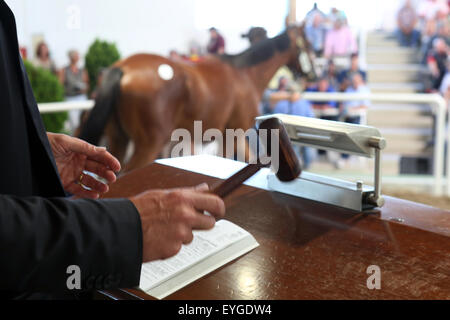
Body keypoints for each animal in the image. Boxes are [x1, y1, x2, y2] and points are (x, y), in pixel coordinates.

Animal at [78, 25, 316, 172]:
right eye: (308, 42)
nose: (313, 72)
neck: (244, 73)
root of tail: (123, 68)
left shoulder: (225, 136)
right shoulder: (236, 133)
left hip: (117, 140)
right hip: (149, 144)